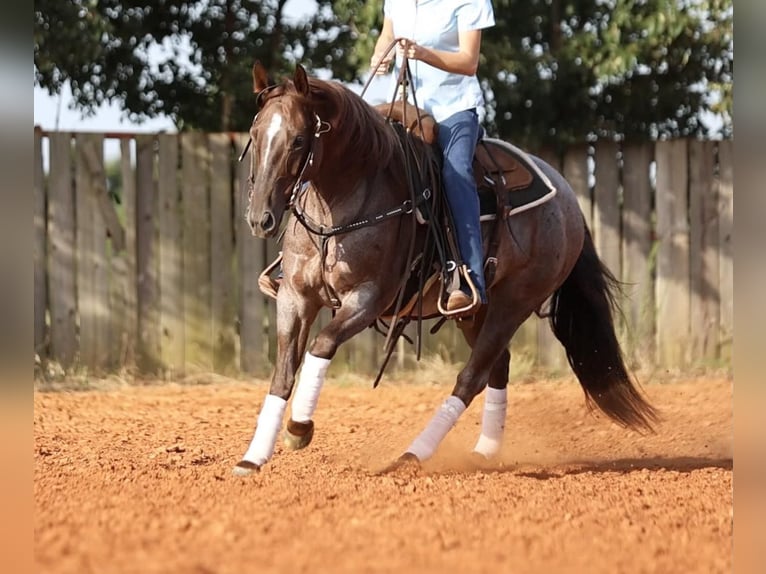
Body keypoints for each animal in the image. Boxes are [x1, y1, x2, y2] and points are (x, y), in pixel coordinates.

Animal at [234, 63, 660, 476]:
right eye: (255, 134)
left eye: (298, 140)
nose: (260, 218)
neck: (344, 199)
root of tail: (568, 199)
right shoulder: (295, 297)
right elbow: (283, 372)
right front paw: (253, 457)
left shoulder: (368, 298)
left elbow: (322, 344)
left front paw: (299, 428)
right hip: (475, 311)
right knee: (497, 367)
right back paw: (485, 451)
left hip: (514, 303)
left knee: (472, 377)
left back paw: (412, 456)